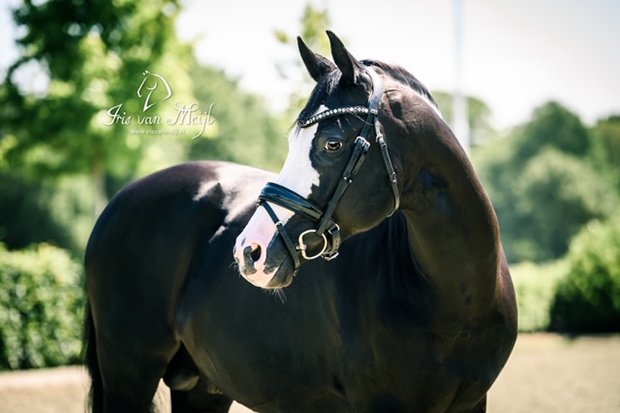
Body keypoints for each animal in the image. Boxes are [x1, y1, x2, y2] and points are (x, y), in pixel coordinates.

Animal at [85, 30, 516, 410]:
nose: (249, 252)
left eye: (332, 143)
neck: (455, 300)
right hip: (129, 372)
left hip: (201, 389)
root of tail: (117, 204)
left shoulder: (473, 403)